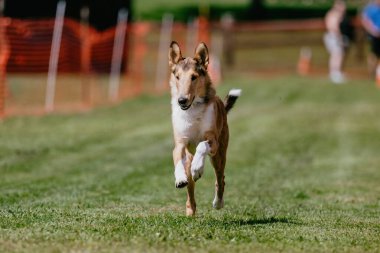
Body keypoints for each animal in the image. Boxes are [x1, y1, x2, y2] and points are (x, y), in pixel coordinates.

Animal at [169, 41, 240, 215]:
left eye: (194, 77)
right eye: (177, 77)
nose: (182, 100)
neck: (192, 110)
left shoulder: (212, 141)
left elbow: (202, 145)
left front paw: (198, 168)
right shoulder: (180, 143)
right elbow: (177, 159)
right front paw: (179, 178)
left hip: (219, 156)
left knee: (220, 179)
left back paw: (218, 202)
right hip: (190, 158)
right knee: (190, 191)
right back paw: (190, 211)